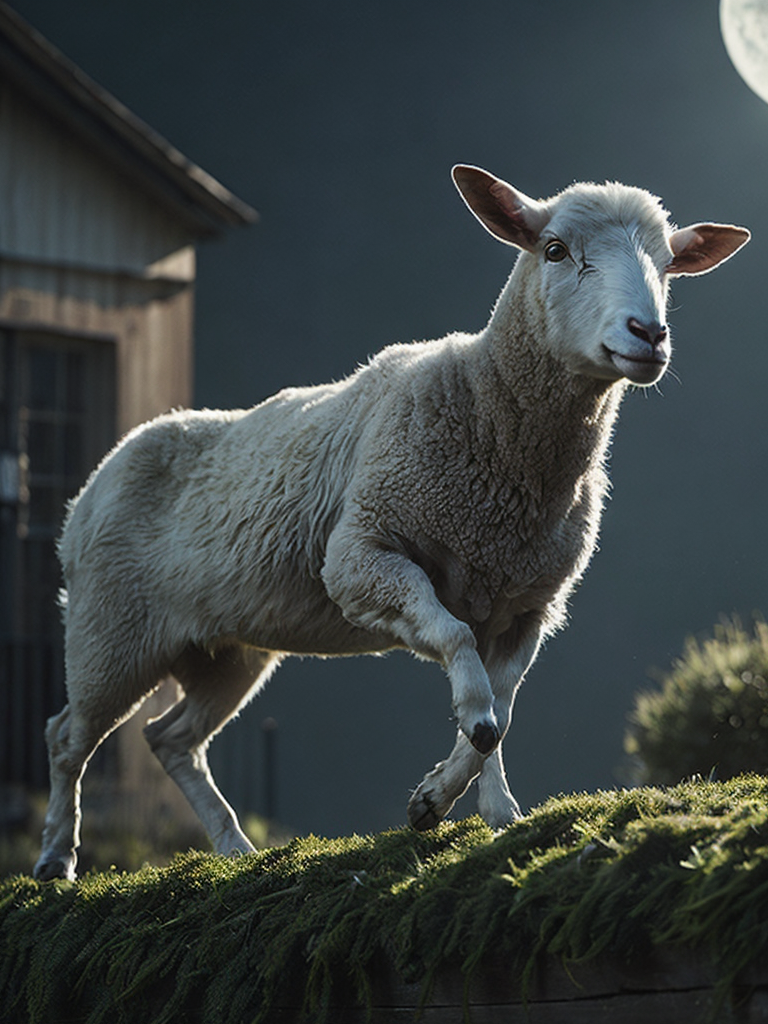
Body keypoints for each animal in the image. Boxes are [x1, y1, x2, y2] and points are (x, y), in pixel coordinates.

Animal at [33, 161, 749, 880]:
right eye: (555, 251)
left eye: (668, 265)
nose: (648, 334)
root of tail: (94, 483)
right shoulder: (360, 559)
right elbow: (465, 665)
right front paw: (462, 755)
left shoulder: (527, 606)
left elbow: (503, 710)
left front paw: (474, 806)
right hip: (111, 629)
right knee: (67, 736)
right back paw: (56, 860)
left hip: (224, 648)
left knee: (170, 738)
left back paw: (234, 847)